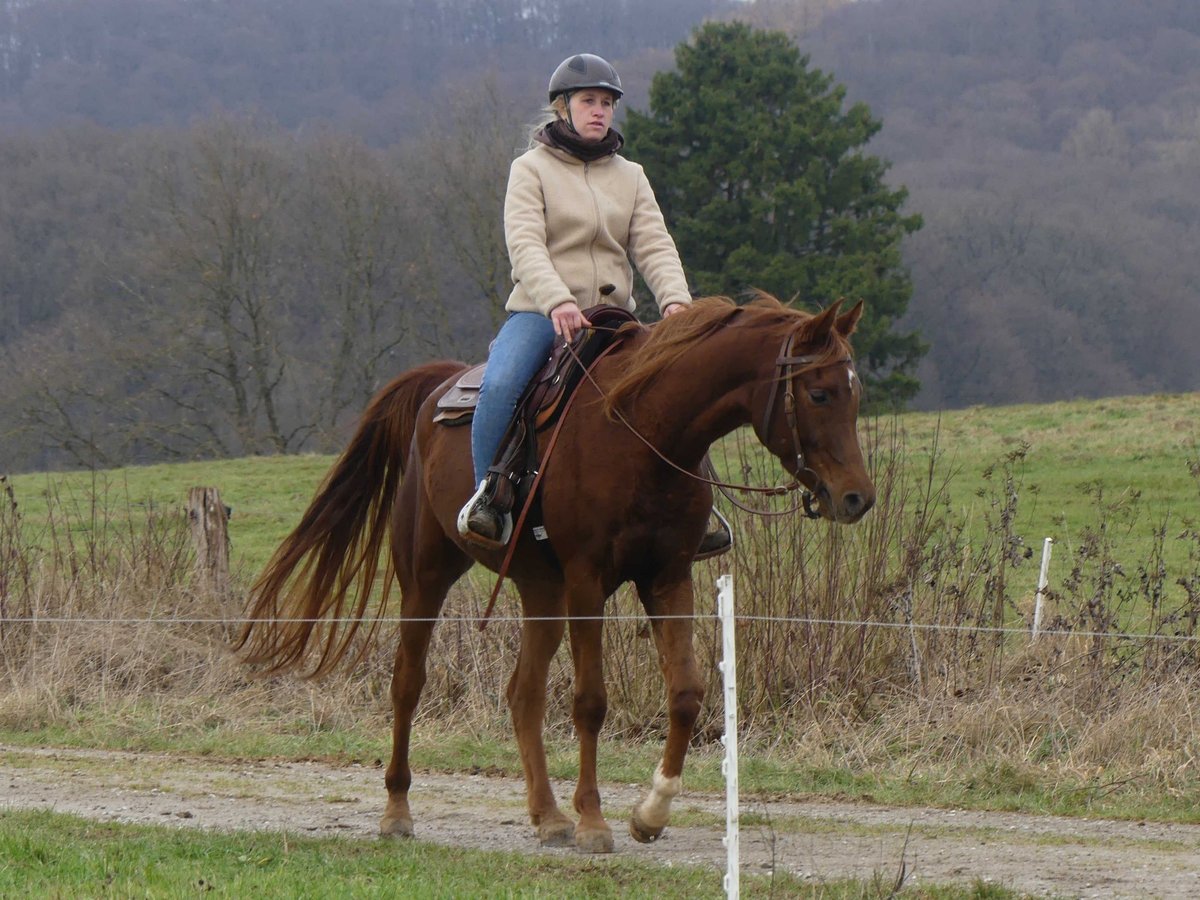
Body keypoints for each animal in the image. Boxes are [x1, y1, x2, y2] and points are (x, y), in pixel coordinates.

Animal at [236, 294, 875, 854]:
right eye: (819, 393)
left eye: (854, 394)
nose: (857, 498)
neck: (641, 428)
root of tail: (437, 386)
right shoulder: (588, 581)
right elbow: (590, 701)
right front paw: (594, 821)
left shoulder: (667, 577)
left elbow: (687, 693)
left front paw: (650, 813)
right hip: (426, 576)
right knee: (407, 683)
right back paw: (397, 812)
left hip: (540, 589)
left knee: (523, 693)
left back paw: (547, 817)